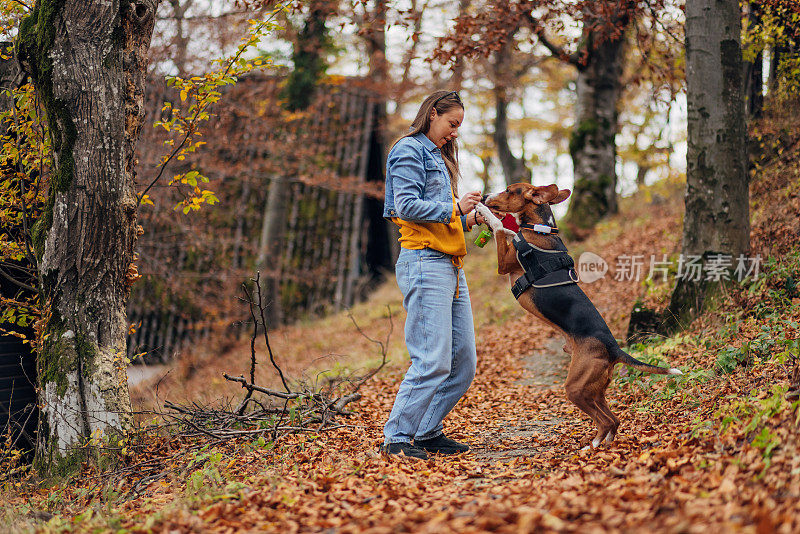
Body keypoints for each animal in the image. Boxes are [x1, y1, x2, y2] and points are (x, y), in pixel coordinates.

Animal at [476, 186, 680, 450]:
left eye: (510, 191)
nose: (484, 196)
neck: (539, 228)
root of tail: (614, 348)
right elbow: (506, 229)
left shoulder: (505, 263)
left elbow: (500, 227)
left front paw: (482, 210)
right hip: (594, 390)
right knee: (615, 420)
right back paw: (603, 443)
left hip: (575, 387)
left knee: (605, 420)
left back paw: (590, 447)